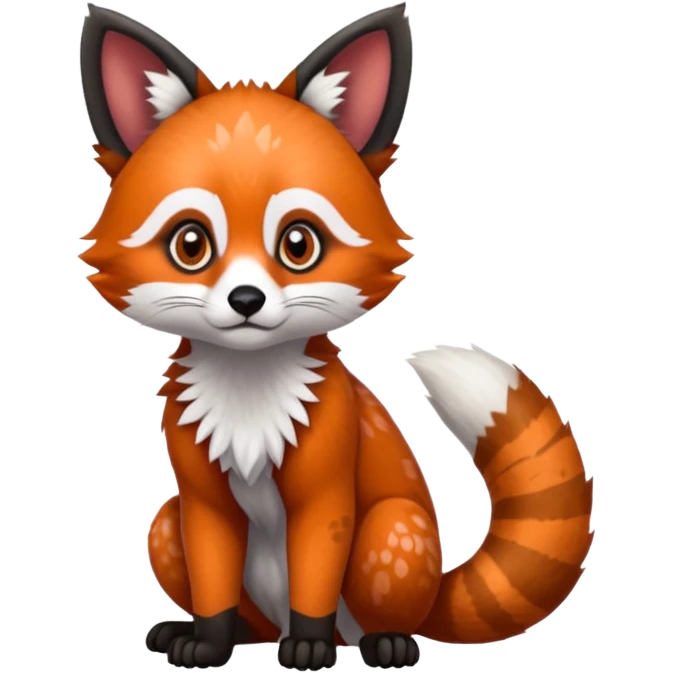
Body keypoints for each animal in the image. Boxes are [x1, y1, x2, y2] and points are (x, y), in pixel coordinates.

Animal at [77, 2, 594, 671]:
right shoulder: (201, 501)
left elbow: (315, 575)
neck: (249, 397)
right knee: (233, 601)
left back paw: (385, 642)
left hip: (396, 528)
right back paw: (221, 633)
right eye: (191, 244)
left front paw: (309, 645)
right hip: (166, 524)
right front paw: (208, 643)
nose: (247, 301)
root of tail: (435, 599)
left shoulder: (327, 491)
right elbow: (213, 580)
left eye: (298, 244)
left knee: (379, 608)